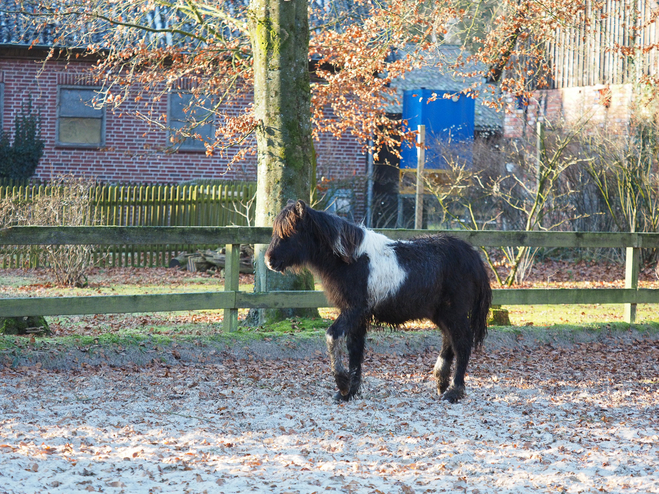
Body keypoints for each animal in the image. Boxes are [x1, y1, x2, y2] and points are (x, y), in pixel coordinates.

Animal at [266, 200, 492, 402]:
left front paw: (343, 384)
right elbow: (355, 350)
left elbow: (332, 336)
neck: (352, 259)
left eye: (290, 232)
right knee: (449, 341)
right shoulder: (357, 317)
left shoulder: (354, 310)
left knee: (462, 343)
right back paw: (441, 383)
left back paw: (454, 392)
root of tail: (473, 256)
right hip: (442, 314)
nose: (269, 260)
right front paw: (349, 392)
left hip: (454, 313)